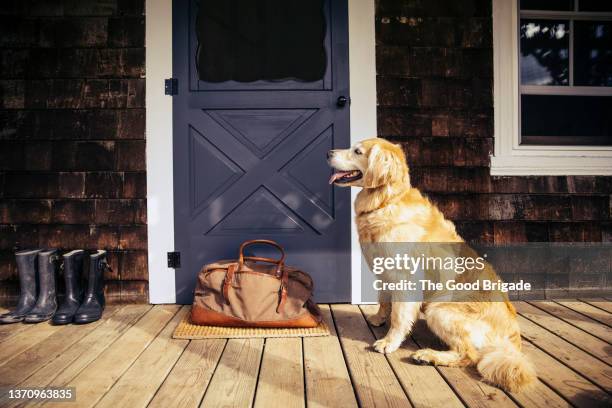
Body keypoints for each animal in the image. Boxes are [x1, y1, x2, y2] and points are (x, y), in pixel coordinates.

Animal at [326, 138, 536, 392]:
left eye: (357, 151)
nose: (328, 153)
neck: (387, 201)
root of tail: (513, 339)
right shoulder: (384, 270)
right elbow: (384, 300)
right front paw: (378, 318)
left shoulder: (405, 278)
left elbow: (399, 316)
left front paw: (389, 341)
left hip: (440, 310)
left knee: (469, 355)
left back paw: (427, 355)